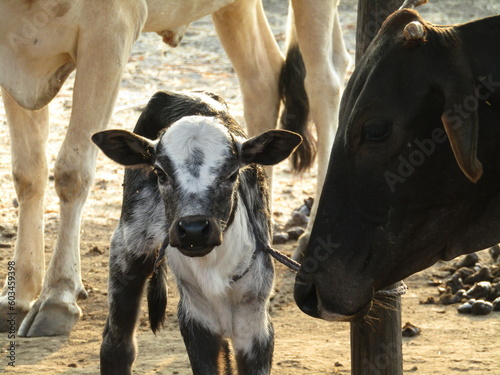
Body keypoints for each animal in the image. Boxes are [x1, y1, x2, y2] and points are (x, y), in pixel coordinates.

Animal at [92, 92, 302, 375]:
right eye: (160, 173)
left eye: (232, 174)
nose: (193, 230)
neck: (215, 269)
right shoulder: (196, 319)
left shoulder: (255, 324)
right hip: (128, 249)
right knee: (117, 345)